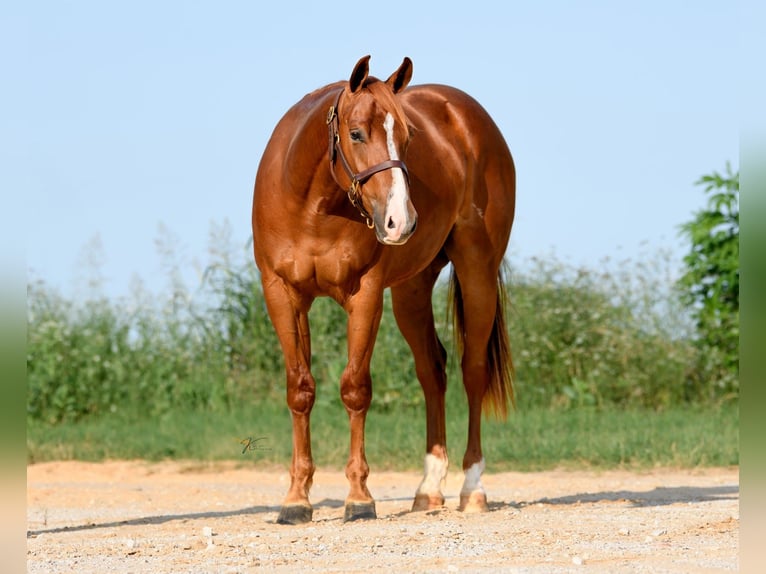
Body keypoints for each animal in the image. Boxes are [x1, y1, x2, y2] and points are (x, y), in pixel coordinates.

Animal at [251, 55, 516, 524]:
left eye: (408, 137)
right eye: (356, 133)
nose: (401, 221)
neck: (313, 207)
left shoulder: (366, 294)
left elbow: (356, 388)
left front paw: (359, 498)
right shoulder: (282, 293)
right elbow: (300, 389)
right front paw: (296, 499)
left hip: (477, 272)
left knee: (473, 371)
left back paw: (472, 489)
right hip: (411, 290)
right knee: (433, 371)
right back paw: (428, 489)